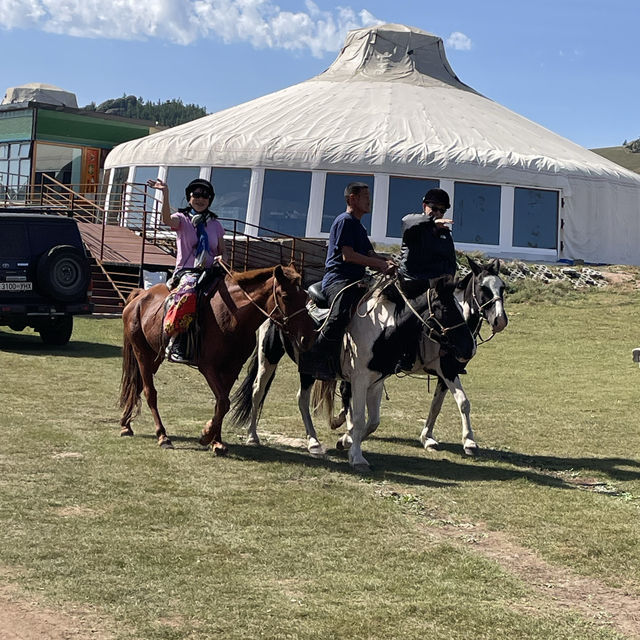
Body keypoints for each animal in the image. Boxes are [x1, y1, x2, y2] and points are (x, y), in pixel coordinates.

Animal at [119, 264, 316, 456]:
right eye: (286, 296)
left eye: (305, 296)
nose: (307, 338)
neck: (232, 316)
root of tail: (139, 297)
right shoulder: (208, 367)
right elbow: (223, 402)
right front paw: (206, 434)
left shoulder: (231, 369)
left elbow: (221, 403)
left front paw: (217, 441)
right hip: (142, 354)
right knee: (149, 392)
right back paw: (162, 436)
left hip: (155, 356)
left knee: (136, 385)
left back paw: (125, 424)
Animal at [230, 272, 476, 468]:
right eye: (445, 308)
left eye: (461, 306)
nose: (469, 347)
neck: (382, 328)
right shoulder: (359, 380)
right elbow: (358, 417)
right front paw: (357, 457)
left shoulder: (377, 381)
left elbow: (373, 420)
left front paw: (345, 441)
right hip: (268, 356)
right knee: (257, 391)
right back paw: (253, 436)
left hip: (307, 369)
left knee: (301, 399)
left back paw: (313, 442)